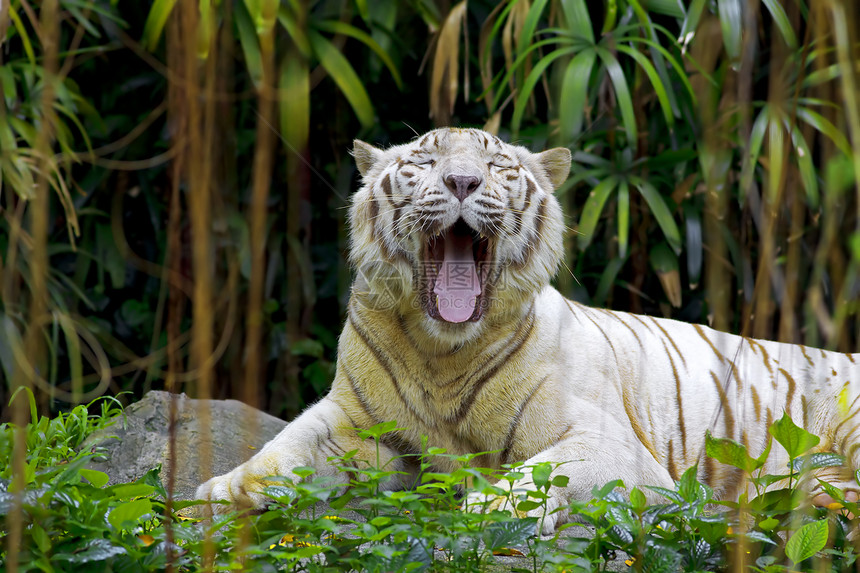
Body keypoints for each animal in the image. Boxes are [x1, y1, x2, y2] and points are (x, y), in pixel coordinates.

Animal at [197, 127, 860, 536]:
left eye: (495, 166)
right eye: (427, 163)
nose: (462, 182)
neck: (441, 352)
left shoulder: (615, 446)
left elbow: (542, 473)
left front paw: (486, 508)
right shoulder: (353, 421)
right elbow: (285, 447)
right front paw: (224, 491)